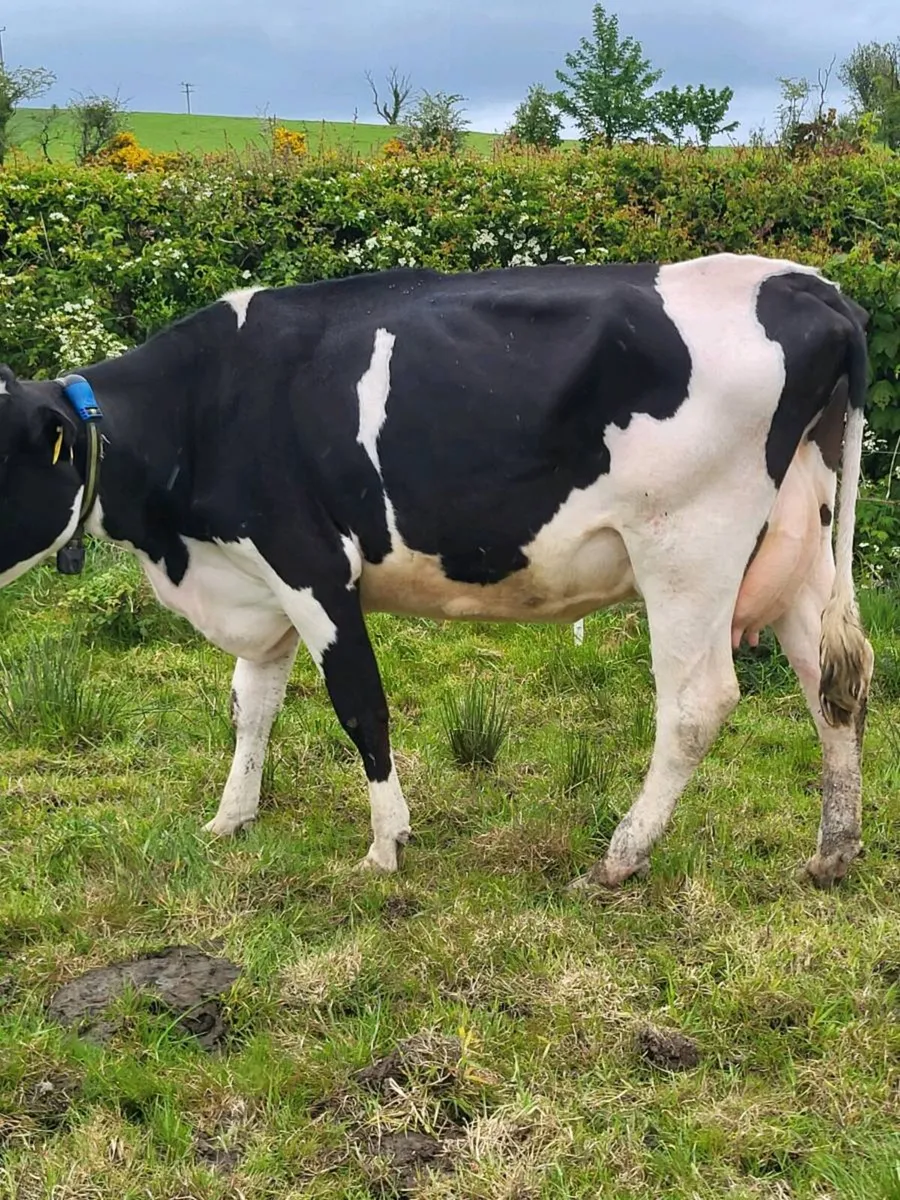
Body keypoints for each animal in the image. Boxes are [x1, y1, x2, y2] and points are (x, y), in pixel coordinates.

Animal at [0, 252, 874, 890]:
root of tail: (813, 286)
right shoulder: (259, 582)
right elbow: (251, 707)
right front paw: (230, 818)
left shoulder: (312, 565)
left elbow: (361, 706)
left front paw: (386, 845)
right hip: (798, 538)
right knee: (832, 682)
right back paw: (832, 852)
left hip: (690, 544)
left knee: (698, 704)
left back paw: (619, 858)